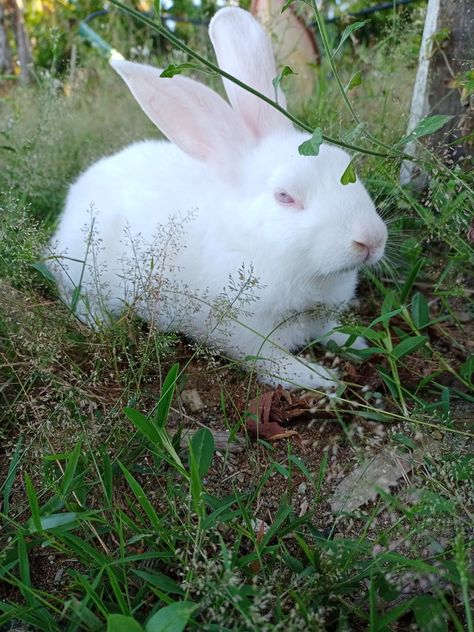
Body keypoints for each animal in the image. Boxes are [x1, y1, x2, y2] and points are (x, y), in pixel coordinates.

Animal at [49, 7, 388, 390]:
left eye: (346, 166)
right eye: (285, 197)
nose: (371, 240)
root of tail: (75, 197)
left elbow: (331, 331)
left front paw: (358, 342)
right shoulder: (246, 334)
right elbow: (274, 363)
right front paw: (319, 377)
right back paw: (98, 322)